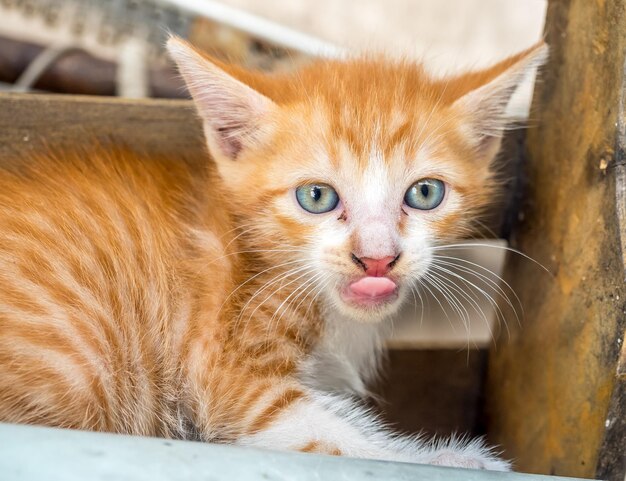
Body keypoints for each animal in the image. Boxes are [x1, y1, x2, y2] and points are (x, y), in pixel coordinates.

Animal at [0, 36, 544, 468]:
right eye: (316, 197)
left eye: (426, 193)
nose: (376, 258)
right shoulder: (221, 371)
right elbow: (333, 435)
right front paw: (457, 460)